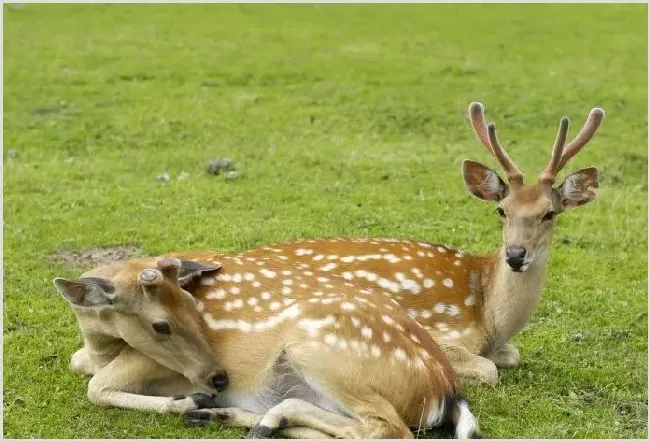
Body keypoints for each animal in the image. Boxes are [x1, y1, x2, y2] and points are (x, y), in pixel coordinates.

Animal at [54, 254, 480, 436]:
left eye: (194, 306)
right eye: (161, 324)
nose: (219, 380)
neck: (101, 347)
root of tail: (445, 389)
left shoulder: (152, 363)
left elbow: (97, 387)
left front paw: (187, 400)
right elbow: (79, 365)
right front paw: (196, 405)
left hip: (319, 351)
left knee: (387, 429)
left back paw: (254, 417)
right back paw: (236, 418)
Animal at [197, 101, 604, 384]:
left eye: (549, 213)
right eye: (501, 210)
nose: (516, 255)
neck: (489, 316)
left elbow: (512, 355)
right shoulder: (443, 330)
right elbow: (488, 369)